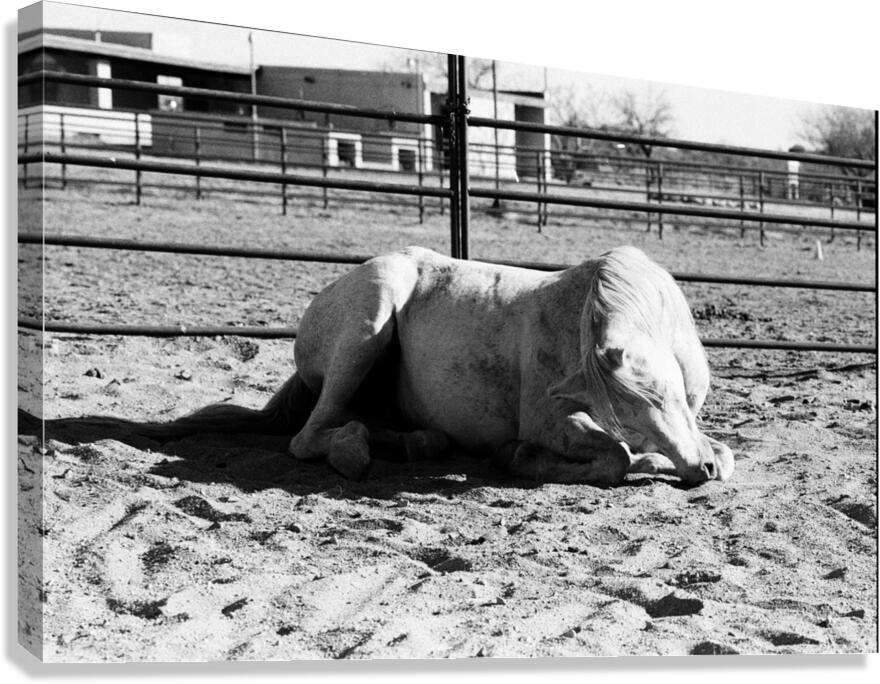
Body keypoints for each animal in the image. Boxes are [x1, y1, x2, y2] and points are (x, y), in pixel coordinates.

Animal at [144, 245, 734, 486]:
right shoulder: (552, 421)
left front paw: (689, 459)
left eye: (673, 397)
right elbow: (613, 458)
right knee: (308, 436)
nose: (697, 470)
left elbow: (714, 451)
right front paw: (517, 458)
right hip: (368, 322)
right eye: (631, 410)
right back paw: (355, 450)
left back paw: (417, 443)